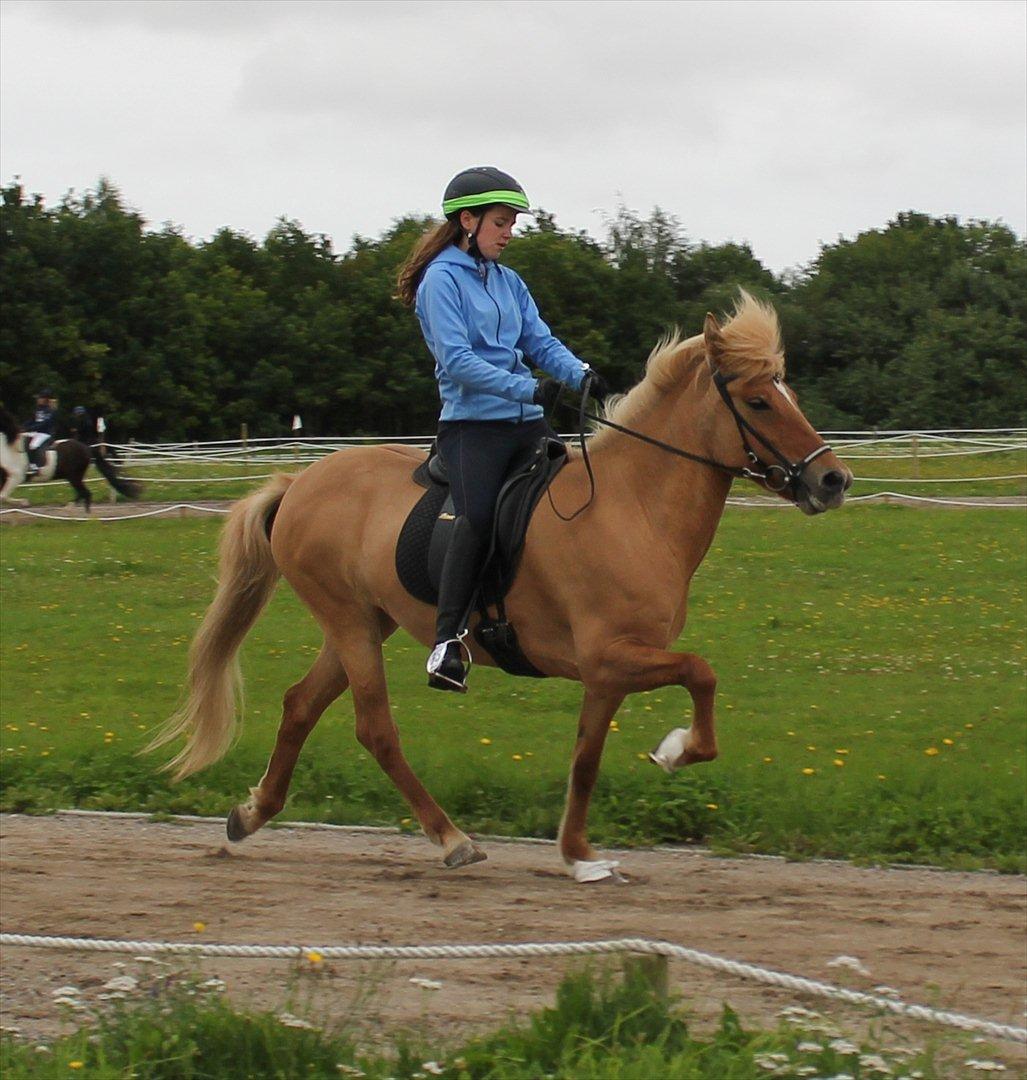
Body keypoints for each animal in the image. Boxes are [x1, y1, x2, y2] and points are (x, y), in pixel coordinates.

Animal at [0, 406, 141, 509]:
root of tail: (86, 447)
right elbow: (2, 496)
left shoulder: (16, 477)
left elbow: (3, 496)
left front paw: (24, 502)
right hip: (73, 476)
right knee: (83, 494)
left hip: (74, 476)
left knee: (85, 493)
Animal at [152, 291, 855, 881]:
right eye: (759, 401)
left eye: (788, 392)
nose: (833, 481)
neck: (633, 508)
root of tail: (299, 483)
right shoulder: (613, 657)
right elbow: (702, 672)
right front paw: (677, 751)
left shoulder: (608, 673)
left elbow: (586, 760)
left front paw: (579, 855)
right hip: (350, 622)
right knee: (375, 729)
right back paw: (452, 839)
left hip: (364, 621)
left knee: (301, 704)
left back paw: (250, 816)